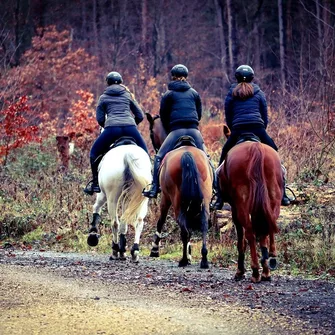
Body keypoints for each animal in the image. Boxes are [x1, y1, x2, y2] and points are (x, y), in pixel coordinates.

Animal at [146, 114, 213, 270]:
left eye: (151, 133)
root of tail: (187, 153)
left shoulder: (165, 198)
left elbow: (161, 221)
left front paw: (155, 250)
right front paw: (190, 253)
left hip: (177, 202)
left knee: (183, 228)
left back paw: (183, 260)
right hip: (204, 201)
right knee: (203, 224)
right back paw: (204, 259)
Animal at [218, 126, 284, 284]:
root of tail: (255, 148)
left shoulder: (235, 208)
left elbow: (241, 240)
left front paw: (240, 271)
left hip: (241, 203)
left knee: (249, 232)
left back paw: (255, 272)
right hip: (273, 198)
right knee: (267, 228)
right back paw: (267, 268)